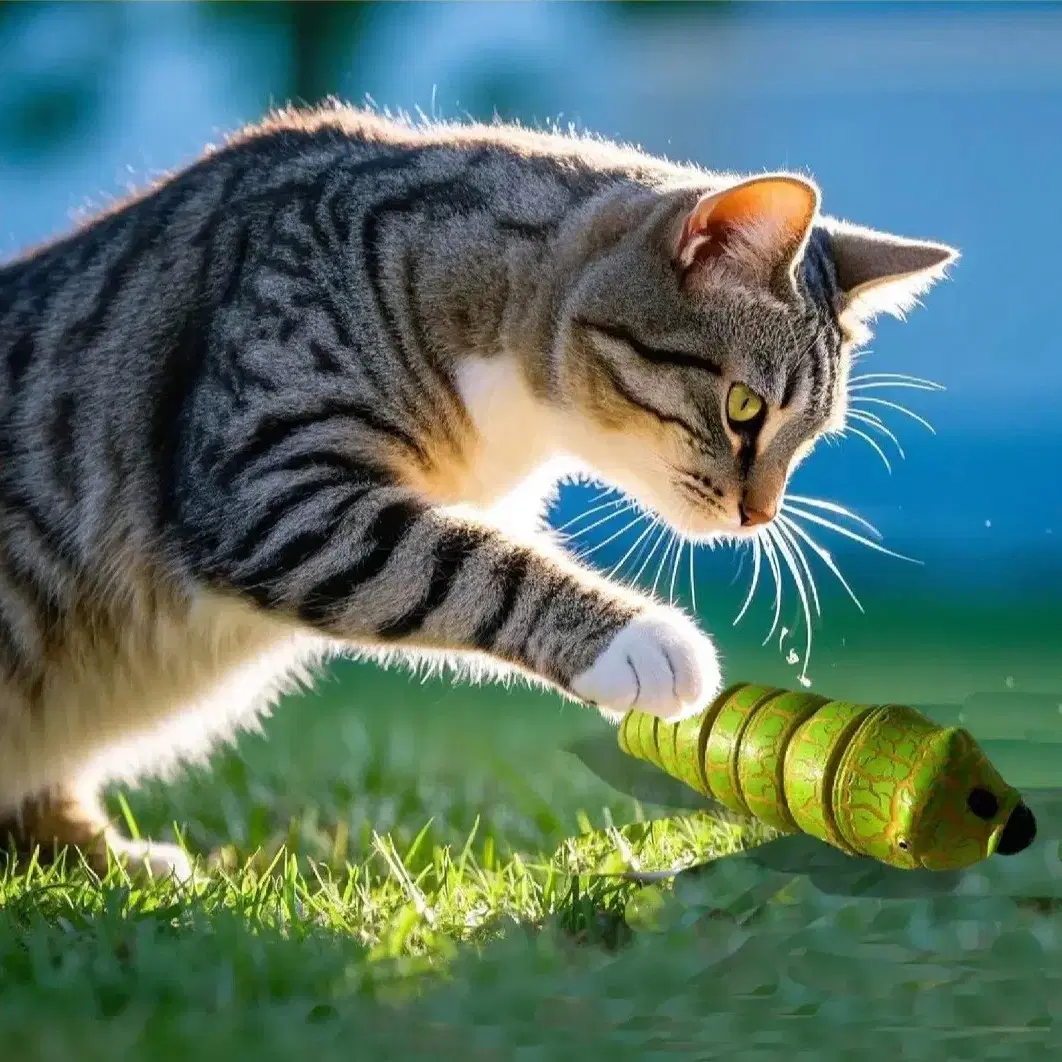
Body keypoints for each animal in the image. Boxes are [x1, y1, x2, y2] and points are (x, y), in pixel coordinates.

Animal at [0, 103, 960, 875]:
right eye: (745, 408)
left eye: (811, 438)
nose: (759, 514)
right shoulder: (262, 480)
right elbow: (463, 562)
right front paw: (641, 640)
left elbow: (472, 544)